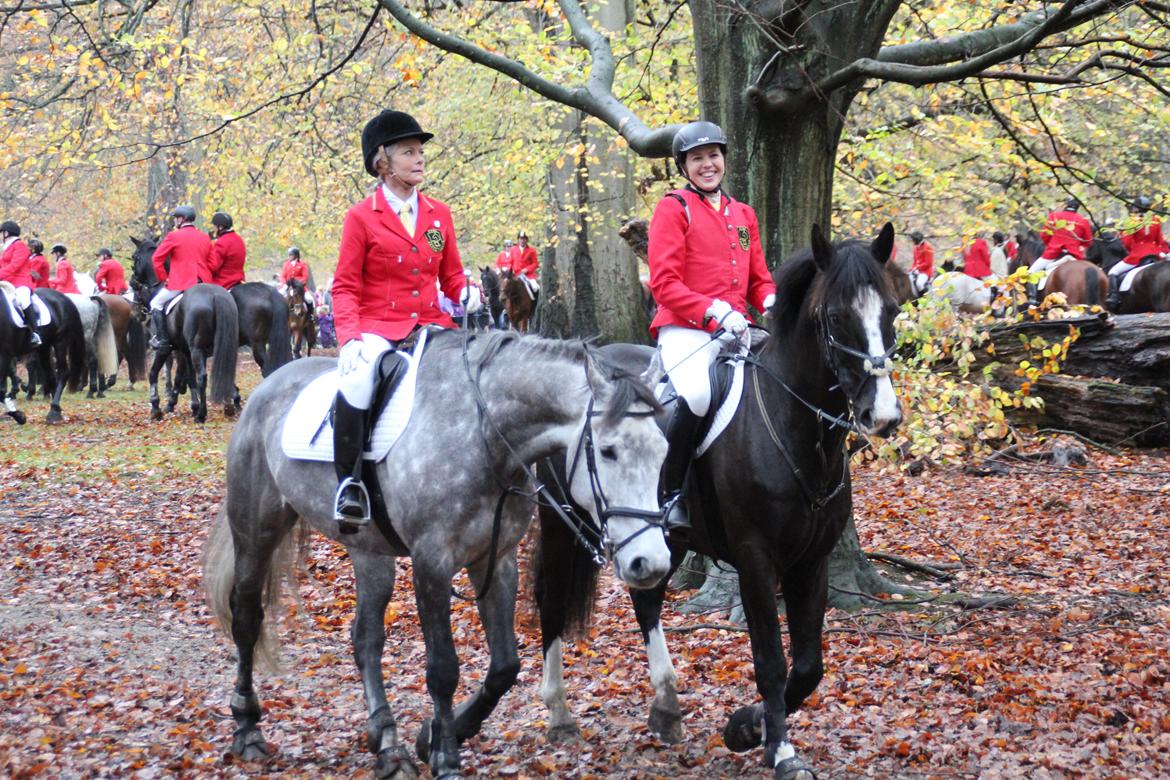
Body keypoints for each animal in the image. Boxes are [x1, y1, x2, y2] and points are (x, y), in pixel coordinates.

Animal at [0, 285, 85, 423]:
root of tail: (62, 297)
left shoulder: (5, 355)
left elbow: (1, 390)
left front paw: (19, 416)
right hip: (43, 348)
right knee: (50, 376)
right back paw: (56, 410)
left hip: (60, 341)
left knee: (63, 372)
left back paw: (53, 411)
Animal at [131, 238, 239, 423]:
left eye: (134, 257)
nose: (133, 280)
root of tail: (215, 295)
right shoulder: (184, 350)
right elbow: (189, 378)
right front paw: (192, 406)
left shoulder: (164, 350)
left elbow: (153, 374)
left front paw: (156, 408)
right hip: (221, 347)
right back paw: (226, 406)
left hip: (196, 348)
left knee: (202, 376)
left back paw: (202, 415)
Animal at [205, 332, 673, 780]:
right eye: (608, 450)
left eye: (663, 450)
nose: (650, 563)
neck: (483, 435)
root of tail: (269, 386)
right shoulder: (432, 563)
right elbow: (443, 668)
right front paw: (446, 757)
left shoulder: (495, 561)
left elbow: (505, 665)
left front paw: (434, 737)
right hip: (256, 531)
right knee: (246, 618)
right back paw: (247, 728)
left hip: (369, 552)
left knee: (365, 638)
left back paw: (387, 745)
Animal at [533, 222, 903, 776]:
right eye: (835, 317)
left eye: (892, 311)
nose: (882, 416)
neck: (792, 427)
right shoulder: (755, 559)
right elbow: (771, 660)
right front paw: (778, 748)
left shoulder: (811, 560)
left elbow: (809, 665)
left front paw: (747, 727)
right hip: (561, 524)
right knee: (552, 603)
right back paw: (558, 712)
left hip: (662, 538)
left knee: (646, 601)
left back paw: (666, 707)